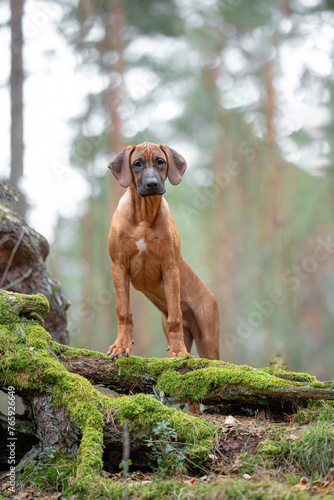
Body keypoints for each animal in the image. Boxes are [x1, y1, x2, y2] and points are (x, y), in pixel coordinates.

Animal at [107, 143, 219, 362]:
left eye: (161, 162)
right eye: (137, 164)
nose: (152, 184)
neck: (144, 215)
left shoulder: (170, 268)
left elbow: (175, 315)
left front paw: (178, 352)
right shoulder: (118, 266)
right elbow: (124, 311)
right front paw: (121, 346)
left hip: (207, 337)